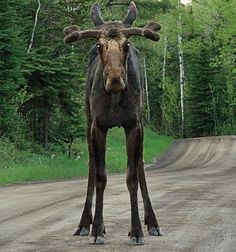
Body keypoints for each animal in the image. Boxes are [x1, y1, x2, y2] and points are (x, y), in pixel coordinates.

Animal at [62, 0, 162, 245]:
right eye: (100, 46)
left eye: (126, 44)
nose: (115, 79)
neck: (116, 97)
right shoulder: (97, 126)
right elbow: (100, 176)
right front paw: (97, 229)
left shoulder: (133, 125)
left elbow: (132, 176)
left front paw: (136, 230)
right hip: (87, 119)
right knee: (90, 164)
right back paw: (84, 223)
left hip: (141, 123)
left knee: (140, 165)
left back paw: (152, 222)